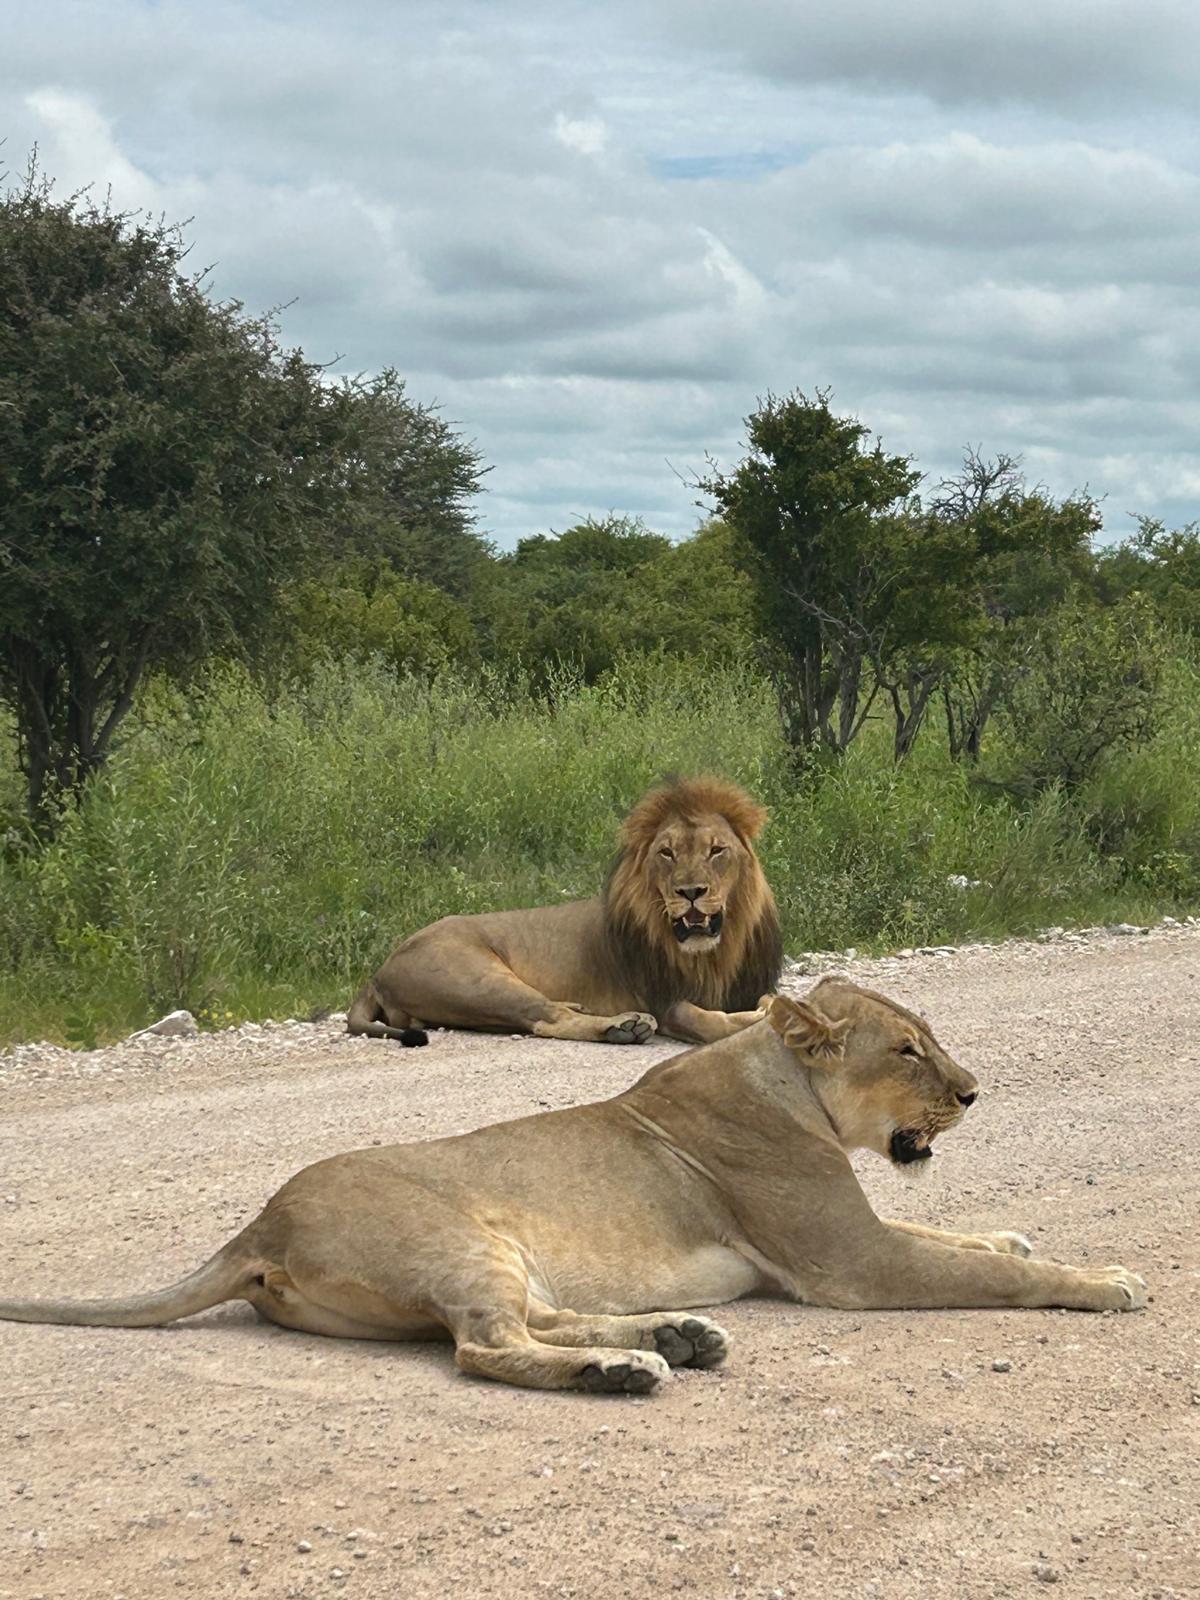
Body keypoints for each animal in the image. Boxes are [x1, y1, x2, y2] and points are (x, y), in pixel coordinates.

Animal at [0, 979, 1145, 1395]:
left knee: (529, 1319)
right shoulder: (848, 1264)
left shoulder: (861, 1237)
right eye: (908, 1051)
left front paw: (1013, 1235)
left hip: (502, 1256)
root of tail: (260, 1222)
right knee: (484, 1346)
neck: (780, 1079)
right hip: (460, 1236)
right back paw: (627, 1371)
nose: (974, 1091)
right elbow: (984, 1271)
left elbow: (968, 1241)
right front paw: (1105, 1282)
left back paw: (674, 1337)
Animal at [346, 775, 784, 1047]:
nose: (690, 891)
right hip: (476, 979)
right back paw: (625, 1027)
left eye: (716, 850)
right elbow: (708, 1022)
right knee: (545, 1018)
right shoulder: (664, 999)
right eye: (667, 852)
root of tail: (378, 971)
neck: (715, 951)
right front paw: (764, 1015)